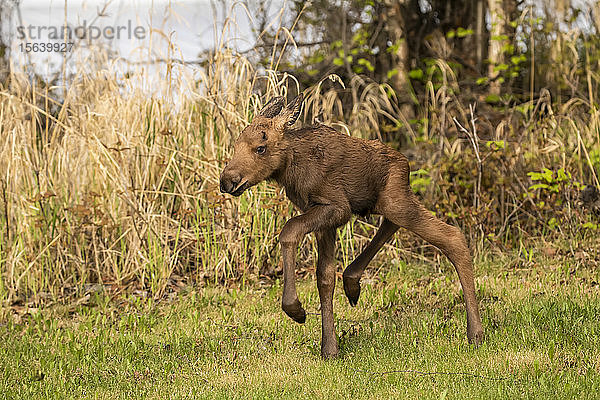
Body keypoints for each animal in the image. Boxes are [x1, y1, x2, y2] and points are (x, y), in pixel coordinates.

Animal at [220, 94, 482, 360]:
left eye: (261, 148)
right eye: (236, 146)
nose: (227, 181)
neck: (291, 169)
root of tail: (406, 163)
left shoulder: (336, 207)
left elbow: (289, 232)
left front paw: (296, 310)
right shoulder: (322, 219)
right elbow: (325, 277)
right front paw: (330, 348)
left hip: (395, 201)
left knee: (452, 236)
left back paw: (475, 334)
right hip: (383, 202)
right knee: (393, 225)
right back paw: (352, 282)